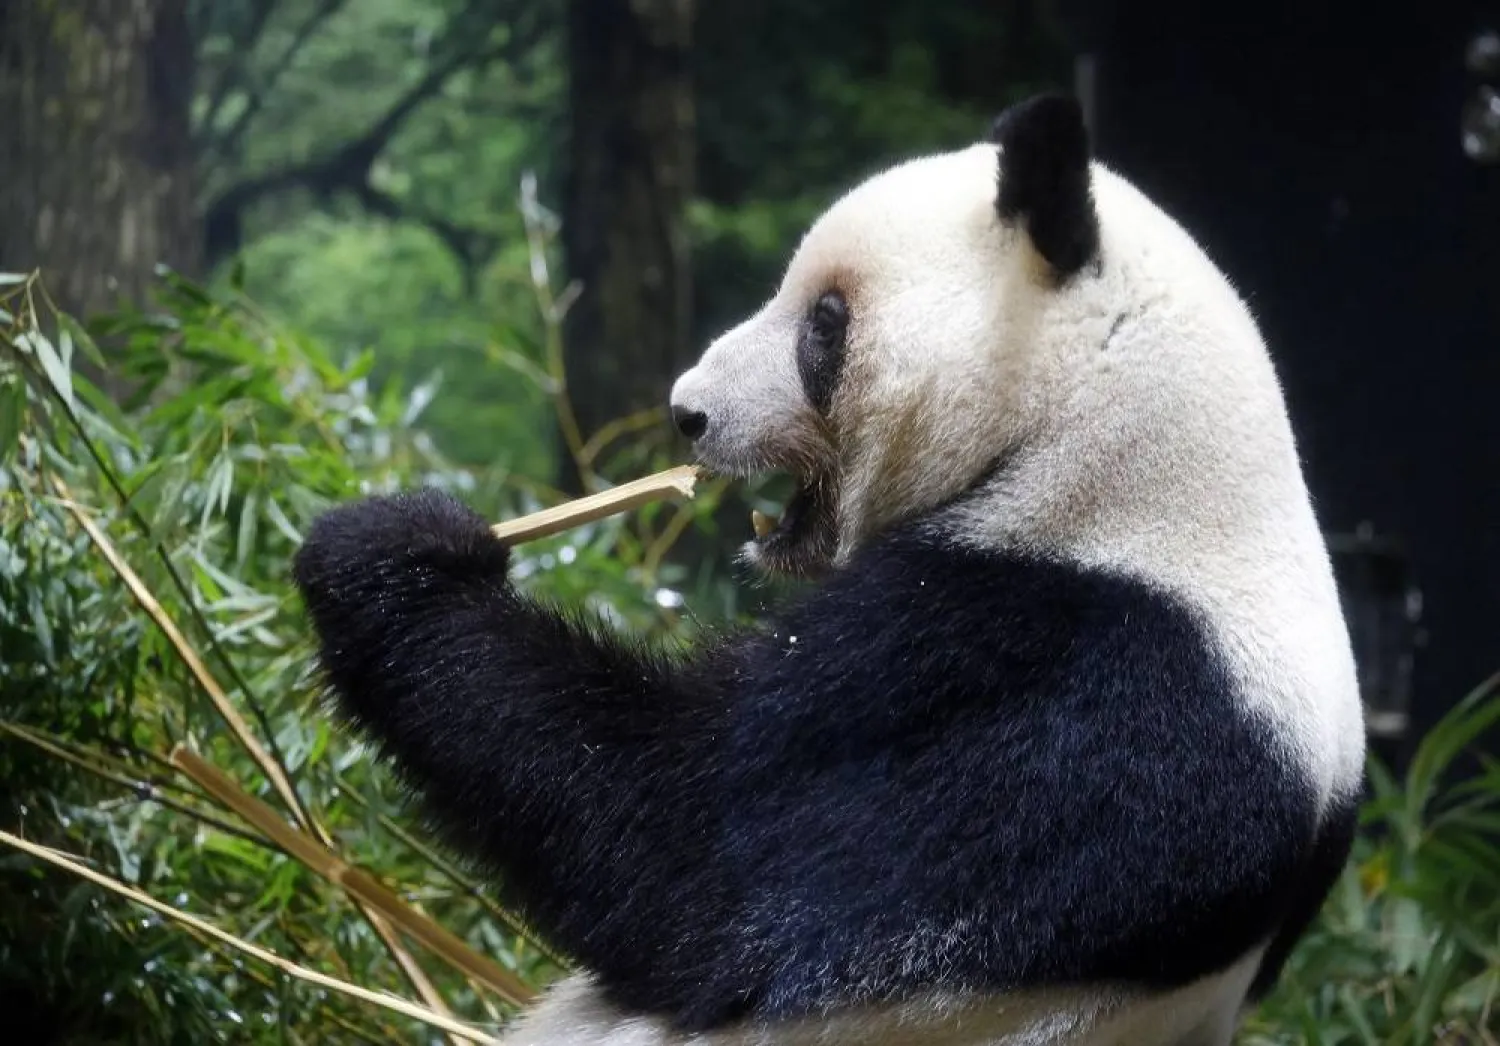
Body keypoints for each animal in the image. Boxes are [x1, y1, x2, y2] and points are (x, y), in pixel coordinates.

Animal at [291, 94, 1365, 1045]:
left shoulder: (1077, 690)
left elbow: (688, 849)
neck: (1117, 448)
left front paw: (394, 555)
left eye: (825, 320)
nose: (687, 411)